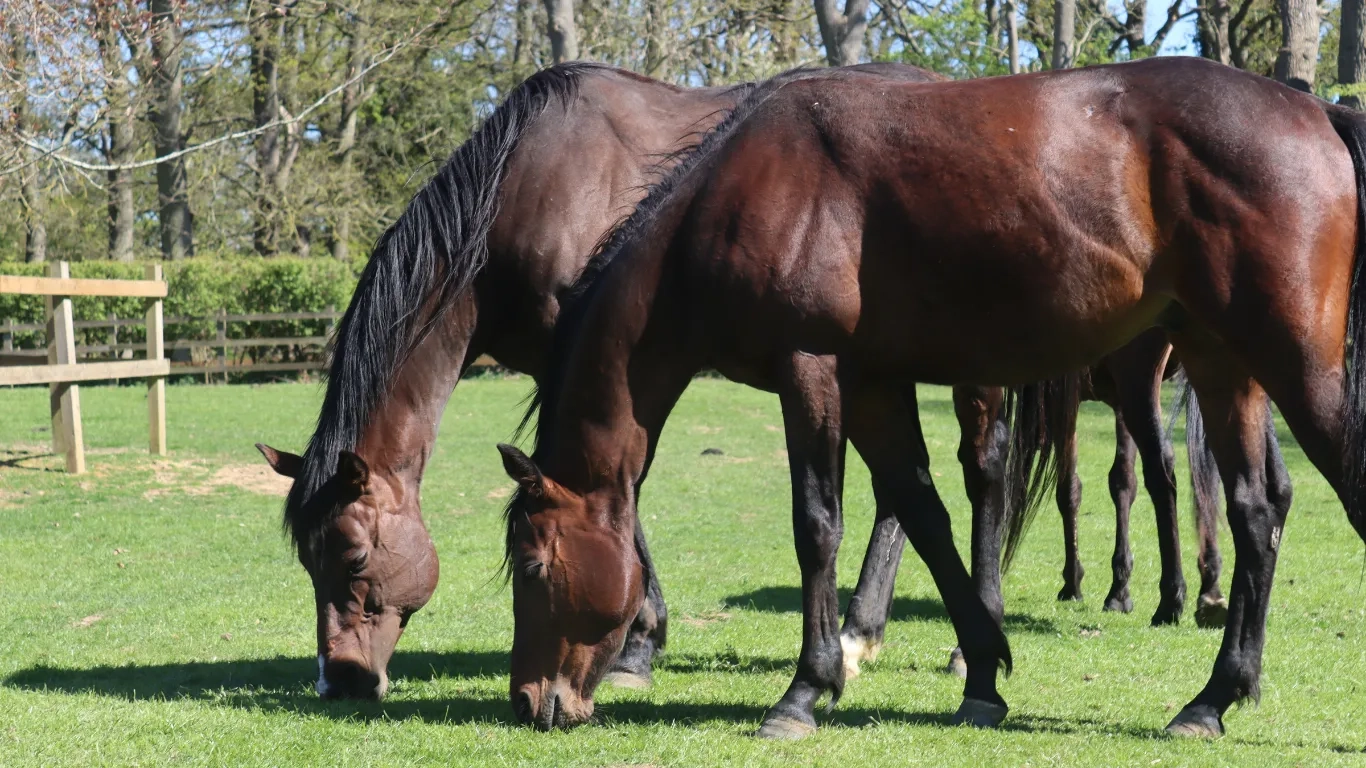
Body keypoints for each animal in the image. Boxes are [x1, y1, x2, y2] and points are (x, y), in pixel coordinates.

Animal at [497, 57, 1366, 740]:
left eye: (534, 566)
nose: (530, 702)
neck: (744, 190)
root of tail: (1314, 111)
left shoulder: (811, 368)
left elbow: (818, 524)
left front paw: (804, 690)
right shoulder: (874, 383)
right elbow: (923, 513)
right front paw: (981, 675)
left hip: (1292, 365)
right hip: (1224, 363)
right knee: (1257, 511)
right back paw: (1214, 698)